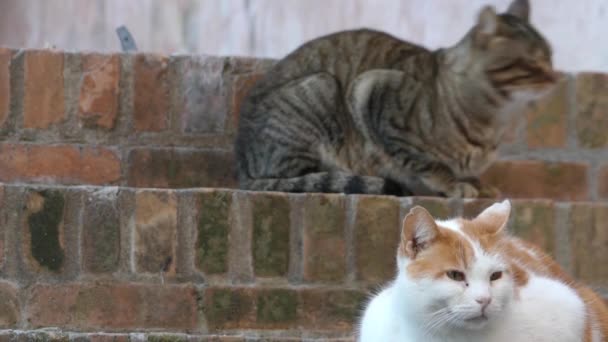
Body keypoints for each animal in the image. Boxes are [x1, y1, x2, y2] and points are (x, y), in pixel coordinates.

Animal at [236, 0, 556, 198]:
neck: (494, 120)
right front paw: (454, 184)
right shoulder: (373, 93)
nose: (555, 77)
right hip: (321, 88)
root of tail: (240, 164)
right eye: (532, 63)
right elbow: (427, 163)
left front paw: (476, 183)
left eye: (551, 57)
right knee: (299, 178)